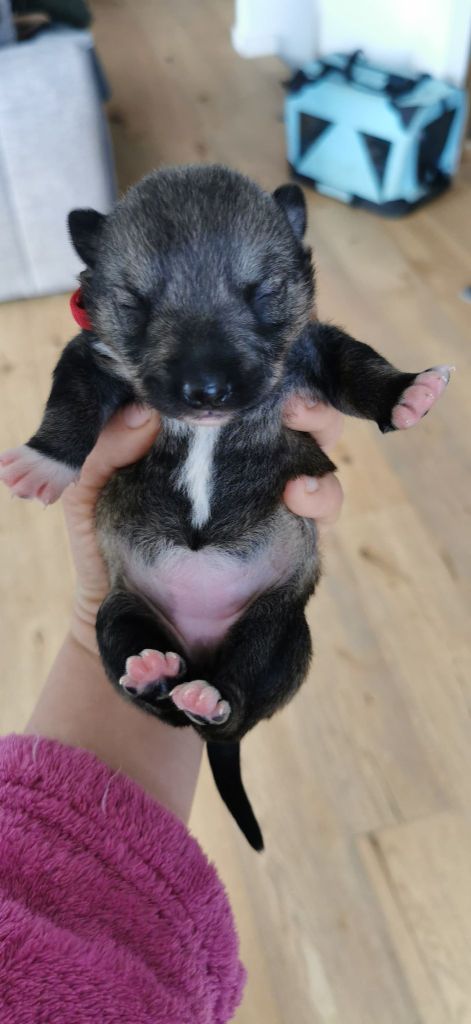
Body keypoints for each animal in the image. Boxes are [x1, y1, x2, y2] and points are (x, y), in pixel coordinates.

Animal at [0, 164, 450, 849]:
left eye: (261, 292)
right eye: (136, 302)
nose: (207, 389)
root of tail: (202, 653)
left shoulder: (312, 348)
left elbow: (358, 362)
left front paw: (407, 394)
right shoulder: (91, 358)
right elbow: (70, 400)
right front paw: (44, 460)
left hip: (284, 632)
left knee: (237, 703)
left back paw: (209, 699)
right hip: (117, 610)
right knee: (148, 684)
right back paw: (153, 671)